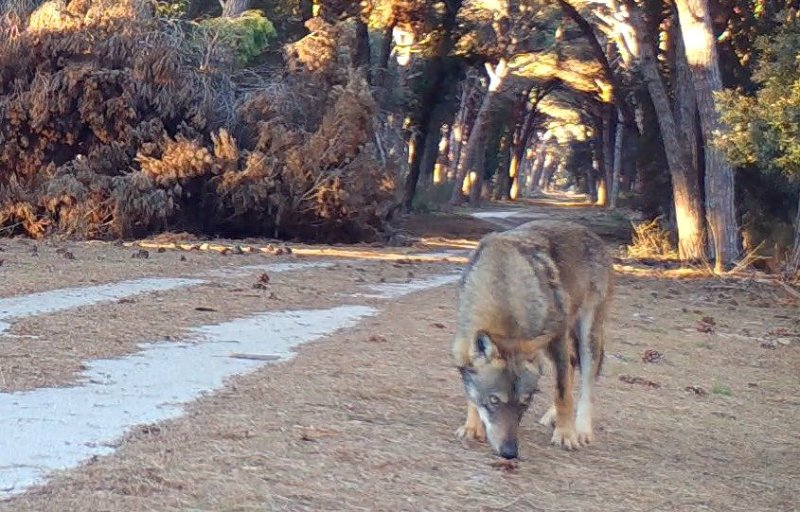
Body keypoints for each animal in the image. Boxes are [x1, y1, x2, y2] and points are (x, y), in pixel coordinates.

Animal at [454, 218, 616, 458]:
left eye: (525, 403)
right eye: (494, 400)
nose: (510, 452)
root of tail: (592, 234)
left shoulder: (557, 339)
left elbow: (563, 393)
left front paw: (565, 435)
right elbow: (471, 392)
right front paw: (472, 427)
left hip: (586, 338)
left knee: (584, 383)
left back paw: (581, 429)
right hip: (547, 350)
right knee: (571, 366)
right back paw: (552, 416)